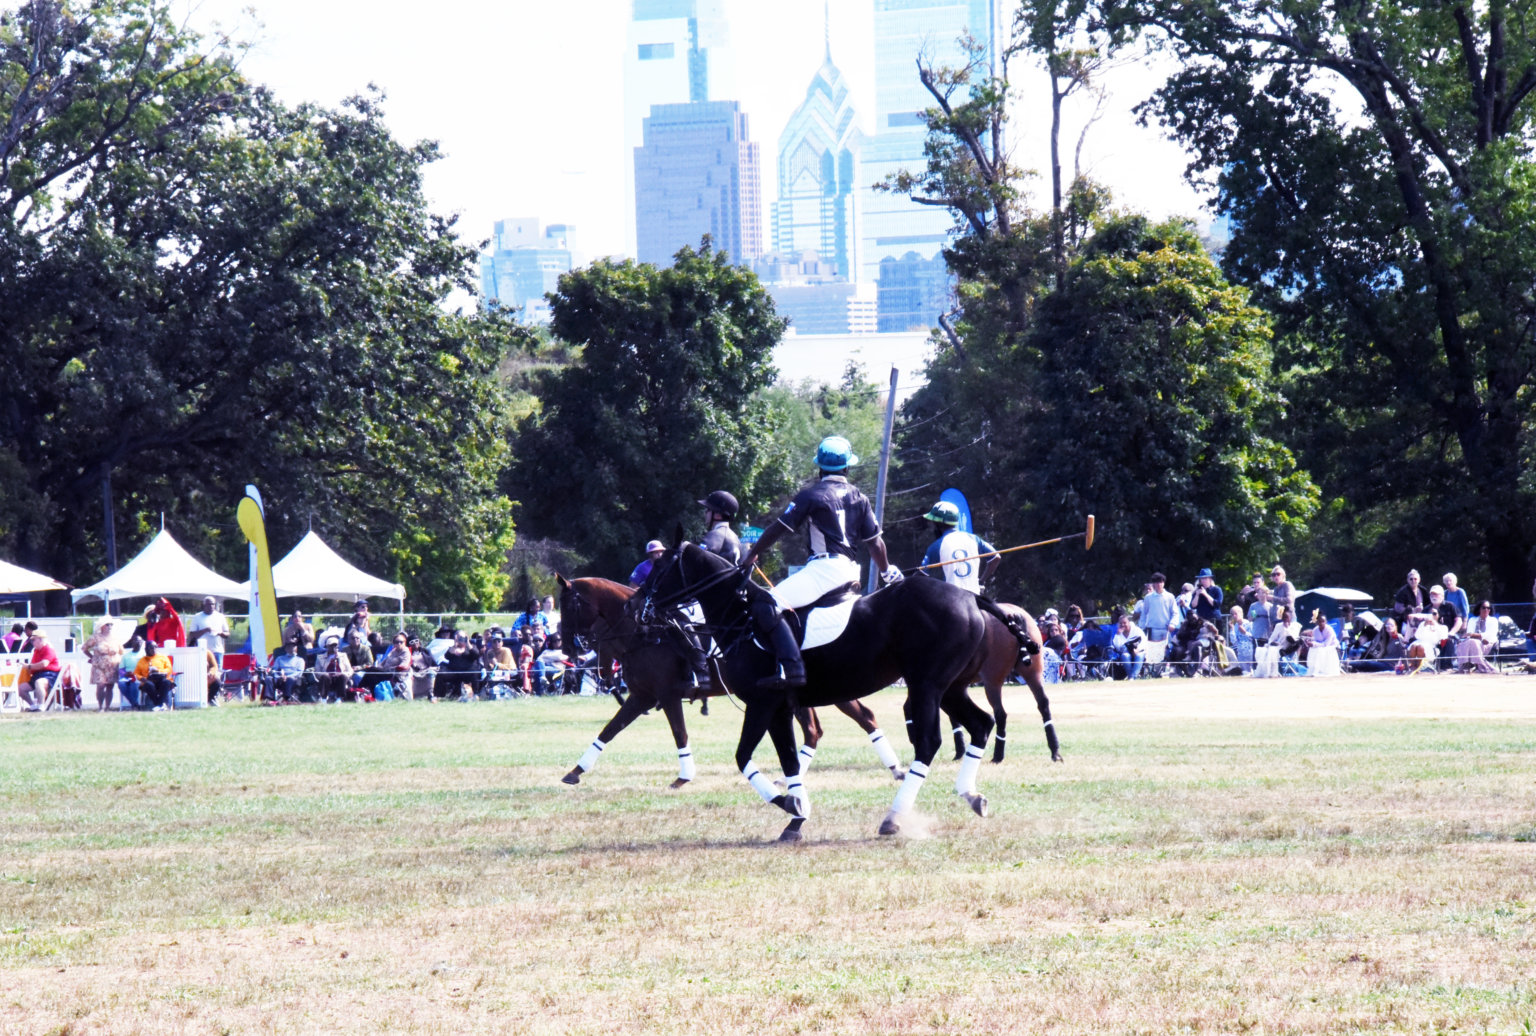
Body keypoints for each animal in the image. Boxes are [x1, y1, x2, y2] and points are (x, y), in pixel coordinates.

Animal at [642, 541, 1038, 836]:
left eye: (660, 571)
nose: (640, 610)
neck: (742, 618)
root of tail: (970, 598)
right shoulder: (780, 707)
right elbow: (787, 759)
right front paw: (796, 814)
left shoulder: (762, 702)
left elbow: (743, 757)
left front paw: (790, 806)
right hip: (951, 687)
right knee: (981, 723)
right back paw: (971, 795)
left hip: (926, 685)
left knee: (929, 742)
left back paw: (894, 817)